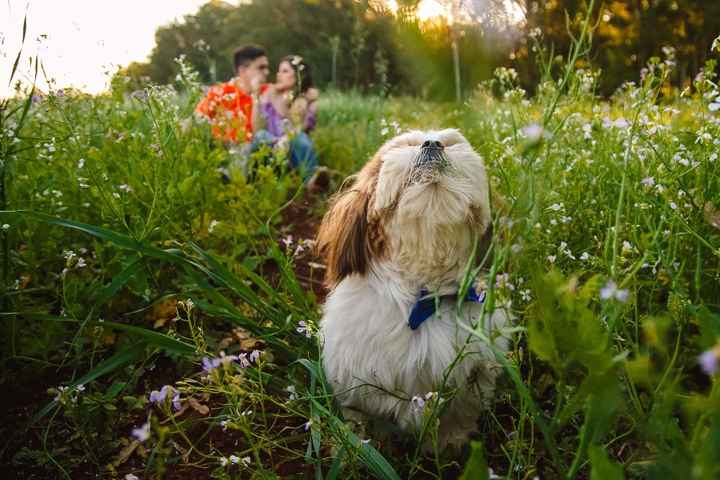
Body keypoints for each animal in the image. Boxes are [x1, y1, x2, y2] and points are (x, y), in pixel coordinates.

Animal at [318, 128, 510, 450]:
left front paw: (452, 441)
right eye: (404, 145)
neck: (426, 297)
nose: (432, 143)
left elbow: (461, 411)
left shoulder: (476, 373)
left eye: (452, 143)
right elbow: (363, 414)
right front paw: (365, 444)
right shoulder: (356, 382)